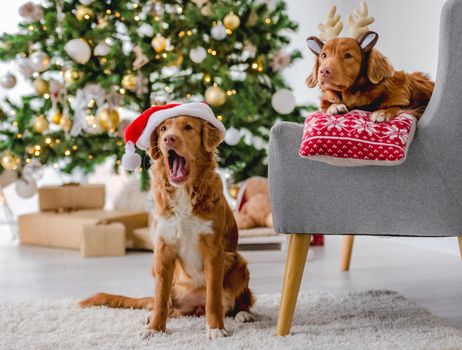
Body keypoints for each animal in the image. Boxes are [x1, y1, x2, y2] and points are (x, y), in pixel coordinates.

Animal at [83, 102, 256, 340]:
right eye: (164, 129)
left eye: (188, 127)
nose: (169, 139)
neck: (184, 193)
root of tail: (196, 307)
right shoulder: (164, 249)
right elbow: (161, 297)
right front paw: (155, 328)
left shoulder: (214, 250)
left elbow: (214, 297)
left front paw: (215, 328)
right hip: (159, 271)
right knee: (167, 305)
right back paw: (151, 316)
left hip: (238, 262)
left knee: (239, 300)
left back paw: (242, 314)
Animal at [306, 1, 434, 121]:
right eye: (323, 55)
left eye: (348, 55)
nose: (323, 71)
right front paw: (335, 106)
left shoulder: (414, 107)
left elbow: (398, 107)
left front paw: (382, 112)